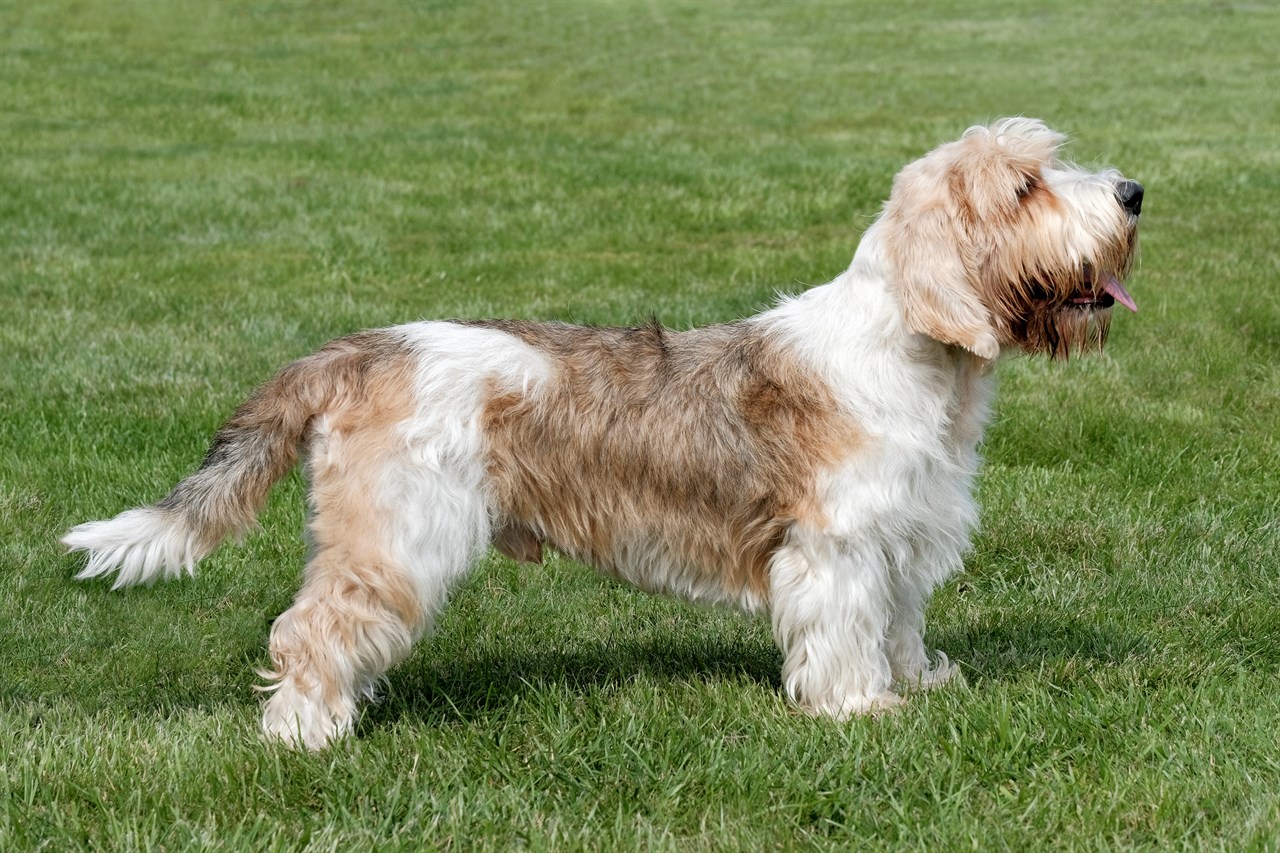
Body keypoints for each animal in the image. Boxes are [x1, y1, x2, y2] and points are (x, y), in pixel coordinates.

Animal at [60, 117, 1141, 742]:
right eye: (1024, 188)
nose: (1133, 193)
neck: (913, 355)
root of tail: (363, 348)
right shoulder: (835, 546)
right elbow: (843, 628)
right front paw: (857, 709)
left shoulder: (904, 536)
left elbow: (900, 622)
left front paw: (920, 683)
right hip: (400, 536)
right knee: (313, 627)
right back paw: (306, 733)